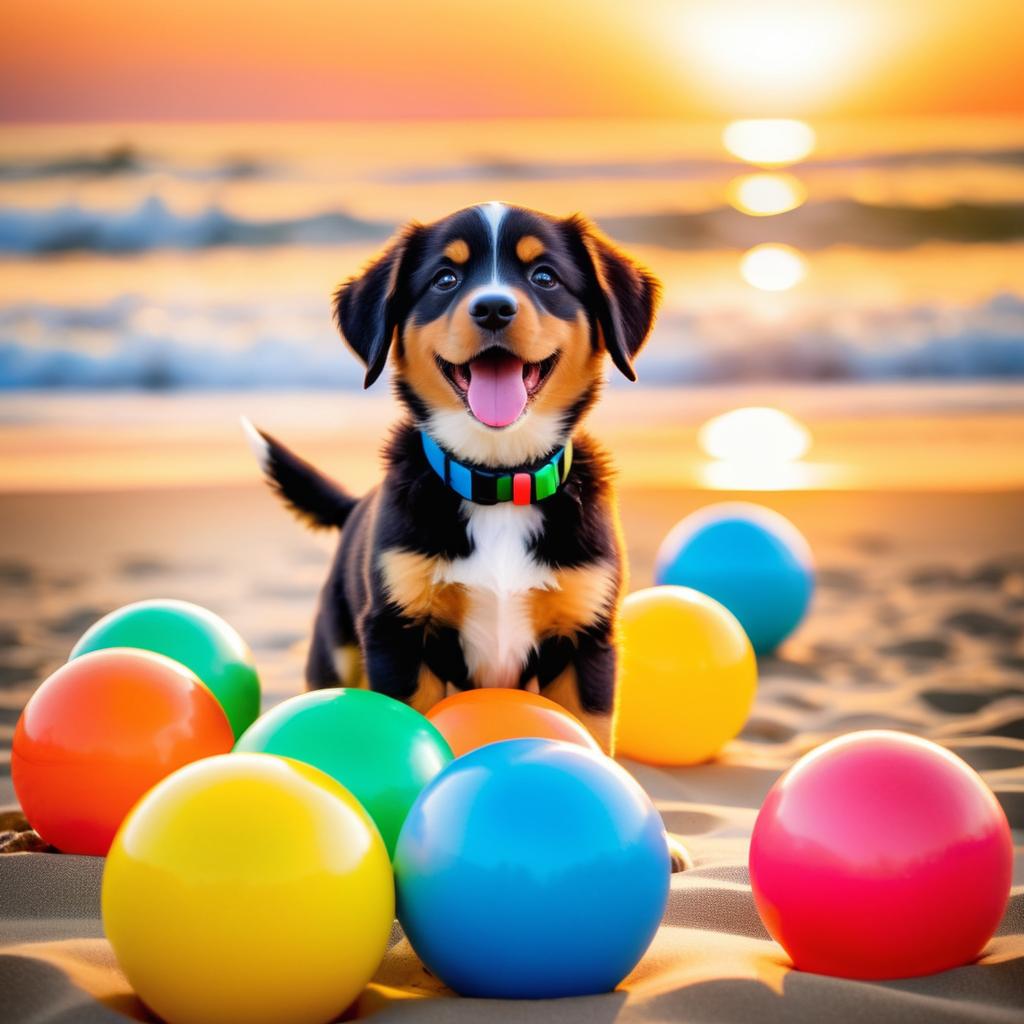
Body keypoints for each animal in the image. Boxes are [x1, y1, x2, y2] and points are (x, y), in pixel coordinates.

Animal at [247, 205, 655, 753]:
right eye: (446, 279)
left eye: (544, 276)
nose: (494, 308)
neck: (498, 482)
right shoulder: (397, 636)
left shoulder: (586, 639)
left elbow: (587, 736)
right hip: (337, 650)